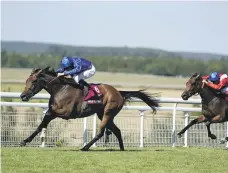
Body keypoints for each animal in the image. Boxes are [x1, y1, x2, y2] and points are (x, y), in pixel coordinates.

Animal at [19, 67, 159, 151]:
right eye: (26, 81)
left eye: (34, 81)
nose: (23, 96)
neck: (61, 88)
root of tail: (119, 93)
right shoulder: (56, 112)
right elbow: (40, 125)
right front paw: (25, 141)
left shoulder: (66, 113)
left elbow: (47, 116)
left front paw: (26, 140)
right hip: (103, 114)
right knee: (117, 130)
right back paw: (122, 148)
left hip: (108, 112)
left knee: (101, 132)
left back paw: (85, 147)